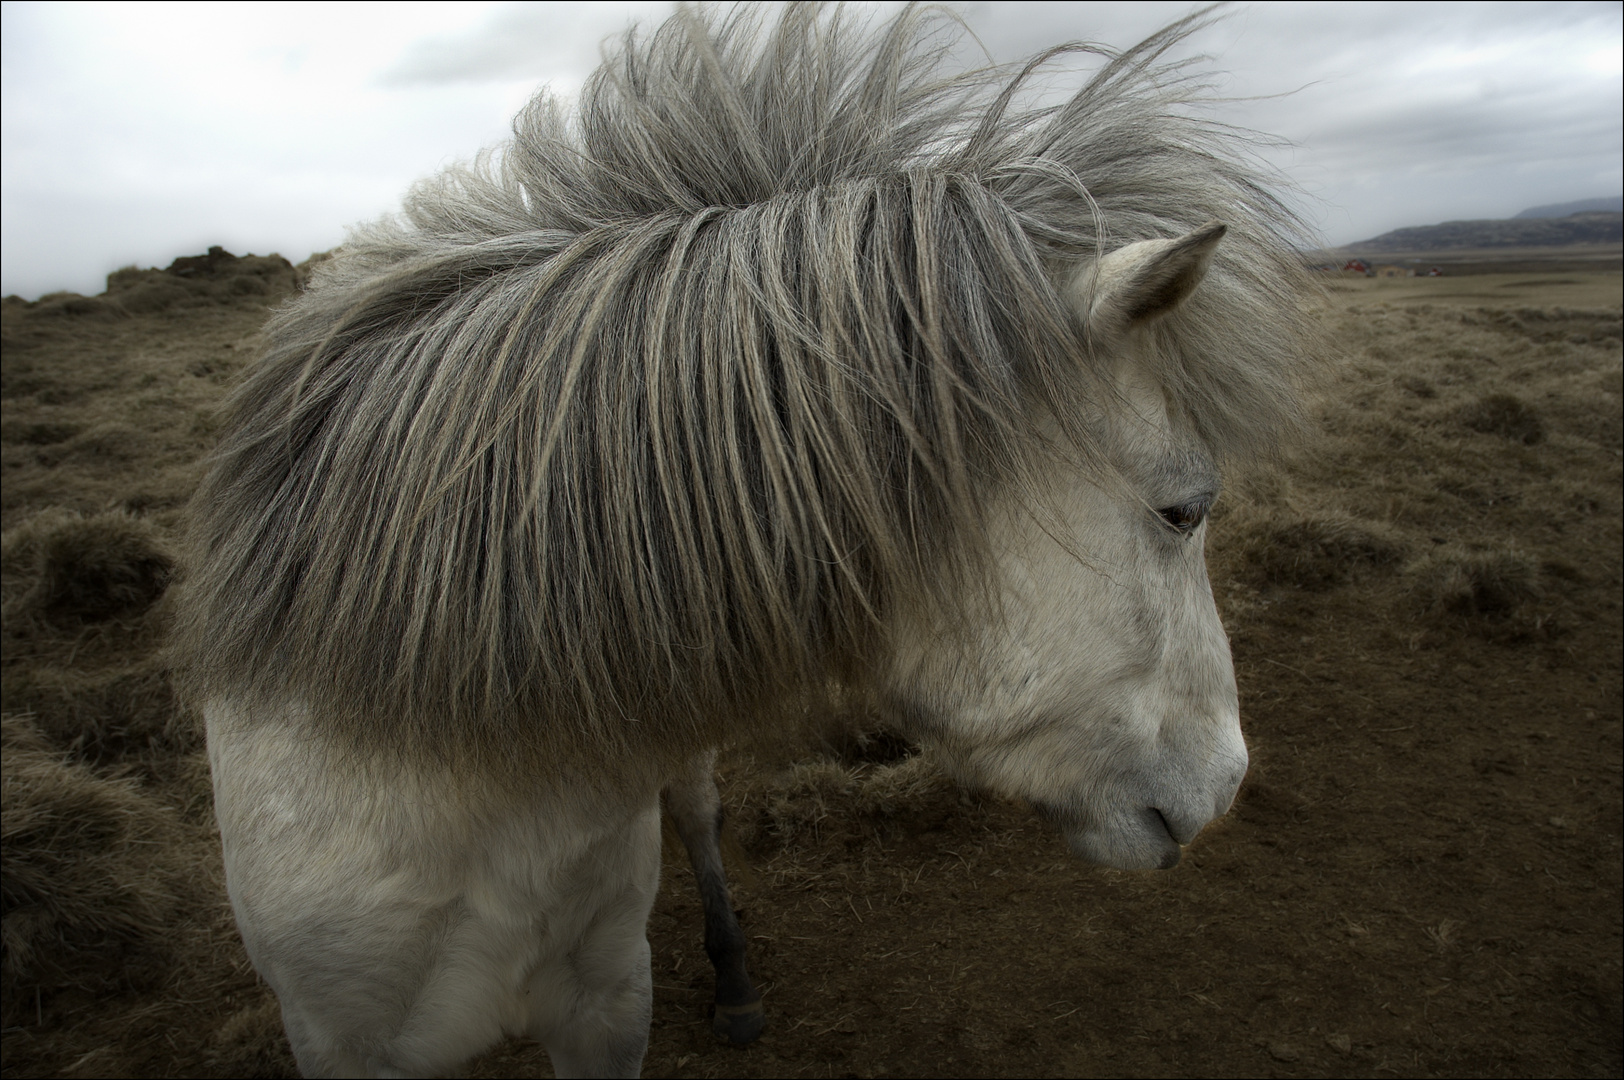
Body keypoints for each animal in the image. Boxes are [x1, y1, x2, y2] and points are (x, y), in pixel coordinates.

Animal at [184, 6, 1312, 1071]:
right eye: (1183, 509)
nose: (1228, 784)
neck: (458, 752)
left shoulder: (607, 1004)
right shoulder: (335, 1037)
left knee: (694, 808)